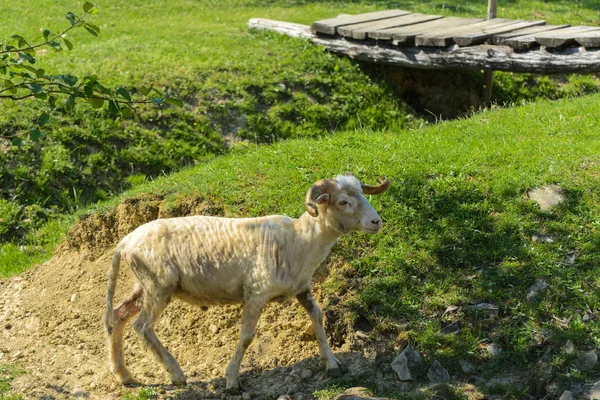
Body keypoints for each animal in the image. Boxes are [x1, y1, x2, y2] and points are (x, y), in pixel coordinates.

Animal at [103, 174, 390, 390]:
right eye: (343, 201)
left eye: (363, 194)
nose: (376, 222)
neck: (300, 241)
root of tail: (125, 241)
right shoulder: (256, 293)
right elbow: (247, 336)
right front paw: (232, 379)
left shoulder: (302, 288)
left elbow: (318, 317)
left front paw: (331, 363)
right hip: (159, 285)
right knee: (142, 326)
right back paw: (176, 374)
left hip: (145, 285)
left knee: (118, 315)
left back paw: (123, 374)